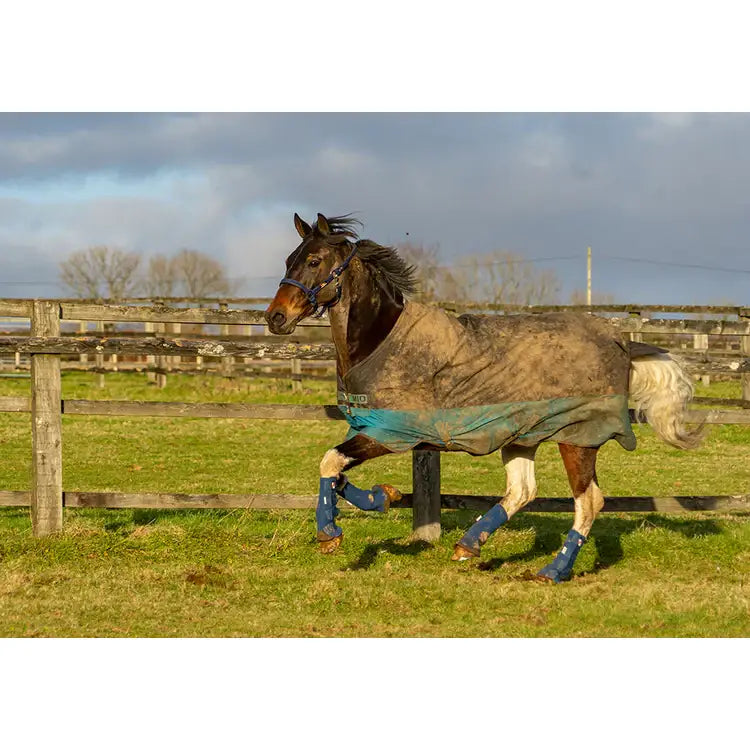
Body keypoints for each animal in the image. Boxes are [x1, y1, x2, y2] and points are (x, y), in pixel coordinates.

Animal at [264, 212, 702, 582]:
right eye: (288, 259)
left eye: (315, 261)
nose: (275, 318)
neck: (380, 340)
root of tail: (622, 342)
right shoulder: (373, 430)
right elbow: (337, 473)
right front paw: (384, 496)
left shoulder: (391, 433)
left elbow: (329, 462)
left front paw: (331, 533)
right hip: (522, 435)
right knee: (523, 491)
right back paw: (468, 545)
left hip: (577, 438)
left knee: (589, 501)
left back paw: (552, 571)